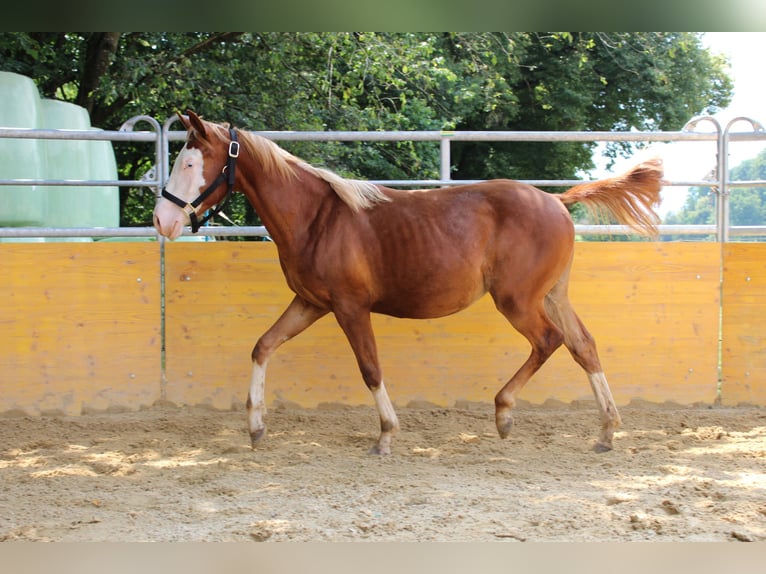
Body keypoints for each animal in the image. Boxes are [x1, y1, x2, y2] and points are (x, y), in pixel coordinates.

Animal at [156, 111, 664, 454]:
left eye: (190, 164)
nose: (163, 220)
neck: (317, 218)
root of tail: (556, 202)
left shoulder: (349, 307)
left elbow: (370, 368)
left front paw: (386, 436)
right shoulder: (310, 303)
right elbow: (262, 346)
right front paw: (256, 428)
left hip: (517, 300)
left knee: (548, 341)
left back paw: (504, 414)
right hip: (553, 295)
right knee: (584, 346)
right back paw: (605, 431)